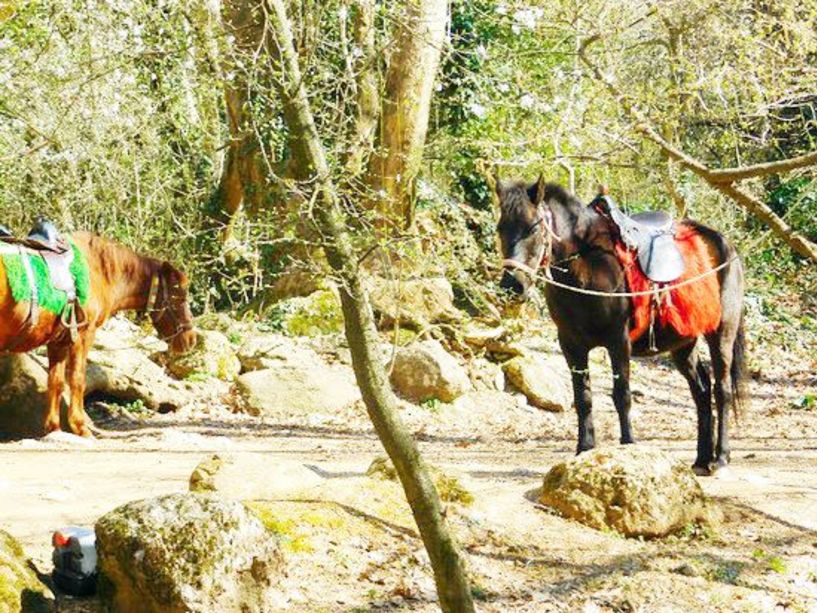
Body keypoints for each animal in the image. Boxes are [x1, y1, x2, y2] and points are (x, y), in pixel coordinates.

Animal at [0, 231, 196, 436]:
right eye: (177, 296)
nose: (191, 339)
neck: (98, 270)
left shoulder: (58, 342)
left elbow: (56, 382)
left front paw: (54, 428)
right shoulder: (83, 335)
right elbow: (77, 379)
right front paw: (79, 426)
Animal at [494, 173, 744, 474]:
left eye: (533, 227)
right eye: (500, 228)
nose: (513, 286)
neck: (589, 263)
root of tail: (724, 244)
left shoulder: (618, 342)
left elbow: (621, 395)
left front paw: (627, 446)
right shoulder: (571, 345)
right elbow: (583, 398)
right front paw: (584, 449)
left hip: (721, 335)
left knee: (722, 390)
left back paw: (721, 457)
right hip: (683, 345)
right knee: (701, 392)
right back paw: (701, 459)